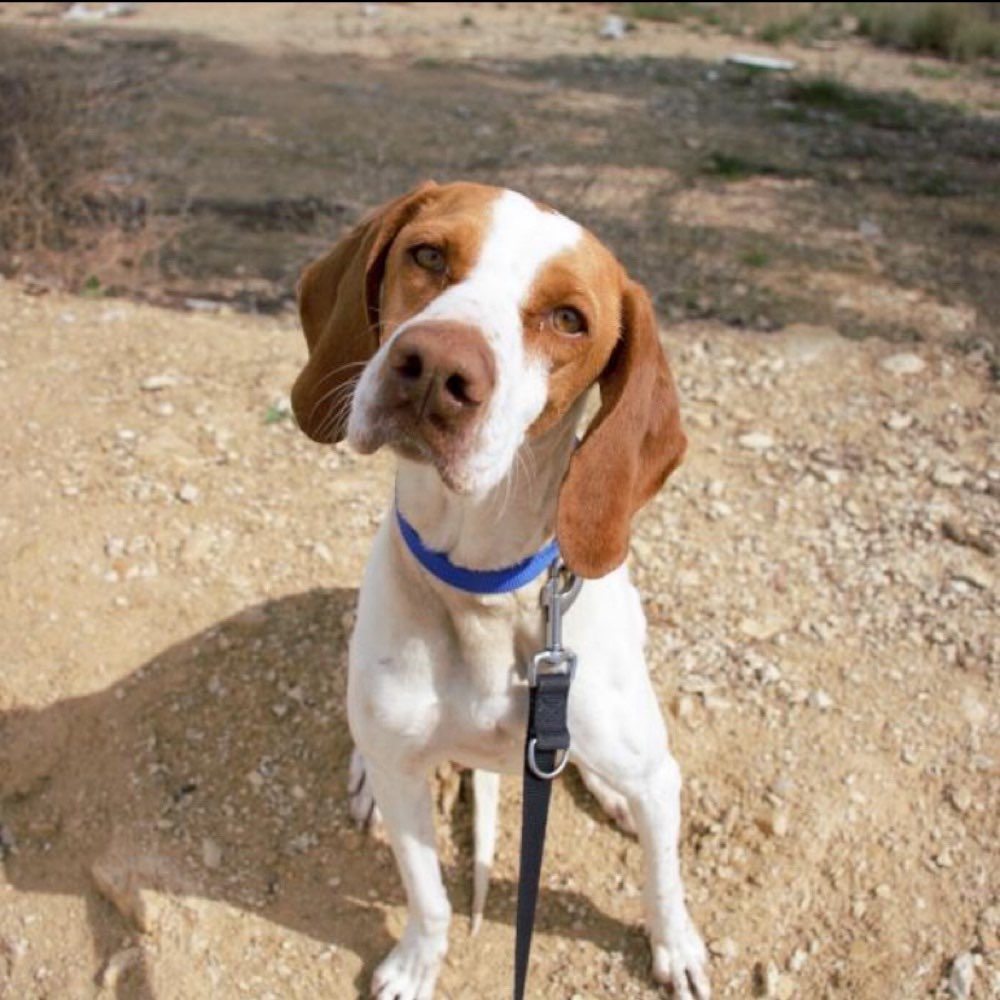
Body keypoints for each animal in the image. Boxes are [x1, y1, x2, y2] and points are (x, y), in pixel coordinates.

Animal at [290, 182, 712, 1000]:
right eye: (427, 254)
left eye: (569, 318)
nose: (433, 367)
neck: (485, 587)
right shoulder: (407, 787)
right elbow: (428, 899)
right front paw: (414, 966)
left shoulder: (659, 779)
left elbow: (665, 881)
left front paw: (676, 949)